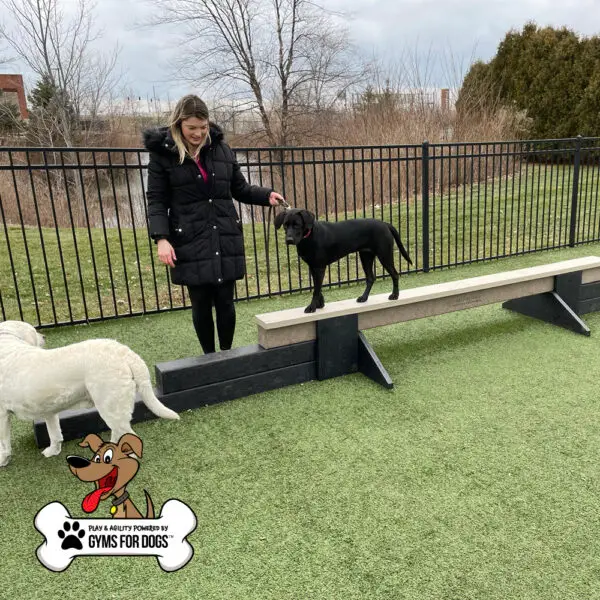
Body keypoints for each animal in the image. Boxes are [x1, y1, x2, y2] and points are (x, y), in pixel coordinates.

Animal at [0, 322, 179, 466]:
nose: (44, 336)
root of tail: (124, 351)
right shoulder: (49, 410)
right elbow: (54, 433)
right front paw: (53, 451)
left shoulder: (2, 414)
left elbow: (3, 444)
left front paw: (3, 461)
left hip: (110, 407)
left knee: (127, 435)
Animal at [276, 210, 412, 314]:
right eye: (285, 225)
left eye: (297, 225)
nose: (289, 240)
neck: (309, 236)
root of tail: (385, 224)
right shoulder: (313, 266)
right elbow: (317, 288)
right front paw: (320, 304)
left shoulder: (319, 267)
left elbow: (316, 290)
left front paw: (312, 307)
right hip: (365, 256)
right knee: (370, 278)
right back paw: (364, 298)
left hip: (384, 255)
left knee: (395, 274)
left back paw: (395, 295)